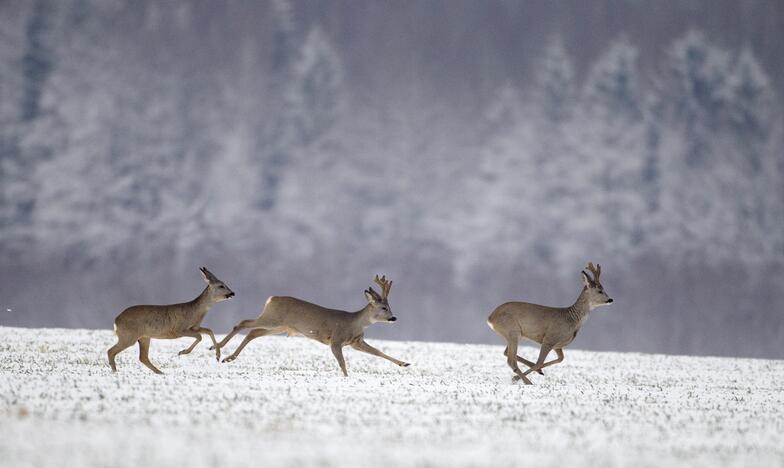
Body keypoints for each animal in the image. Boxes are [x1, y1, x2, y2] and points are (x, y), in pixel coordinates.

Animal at [211, 274, 414, 376]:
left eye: (390, 307)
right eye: (383, 307)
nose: (394, 318)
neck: (354, 323)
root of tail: (271, 299)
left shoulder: (356, 342)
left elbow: (378, 352)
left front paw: (404, 363)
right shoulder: (336, 340)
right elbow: (342, 362)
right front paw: (347, 377)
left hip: (279, 326)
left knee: (253, 332)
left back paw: (228, 357)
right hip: (272, 319)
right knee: (243, 323)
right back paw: (217, 349)